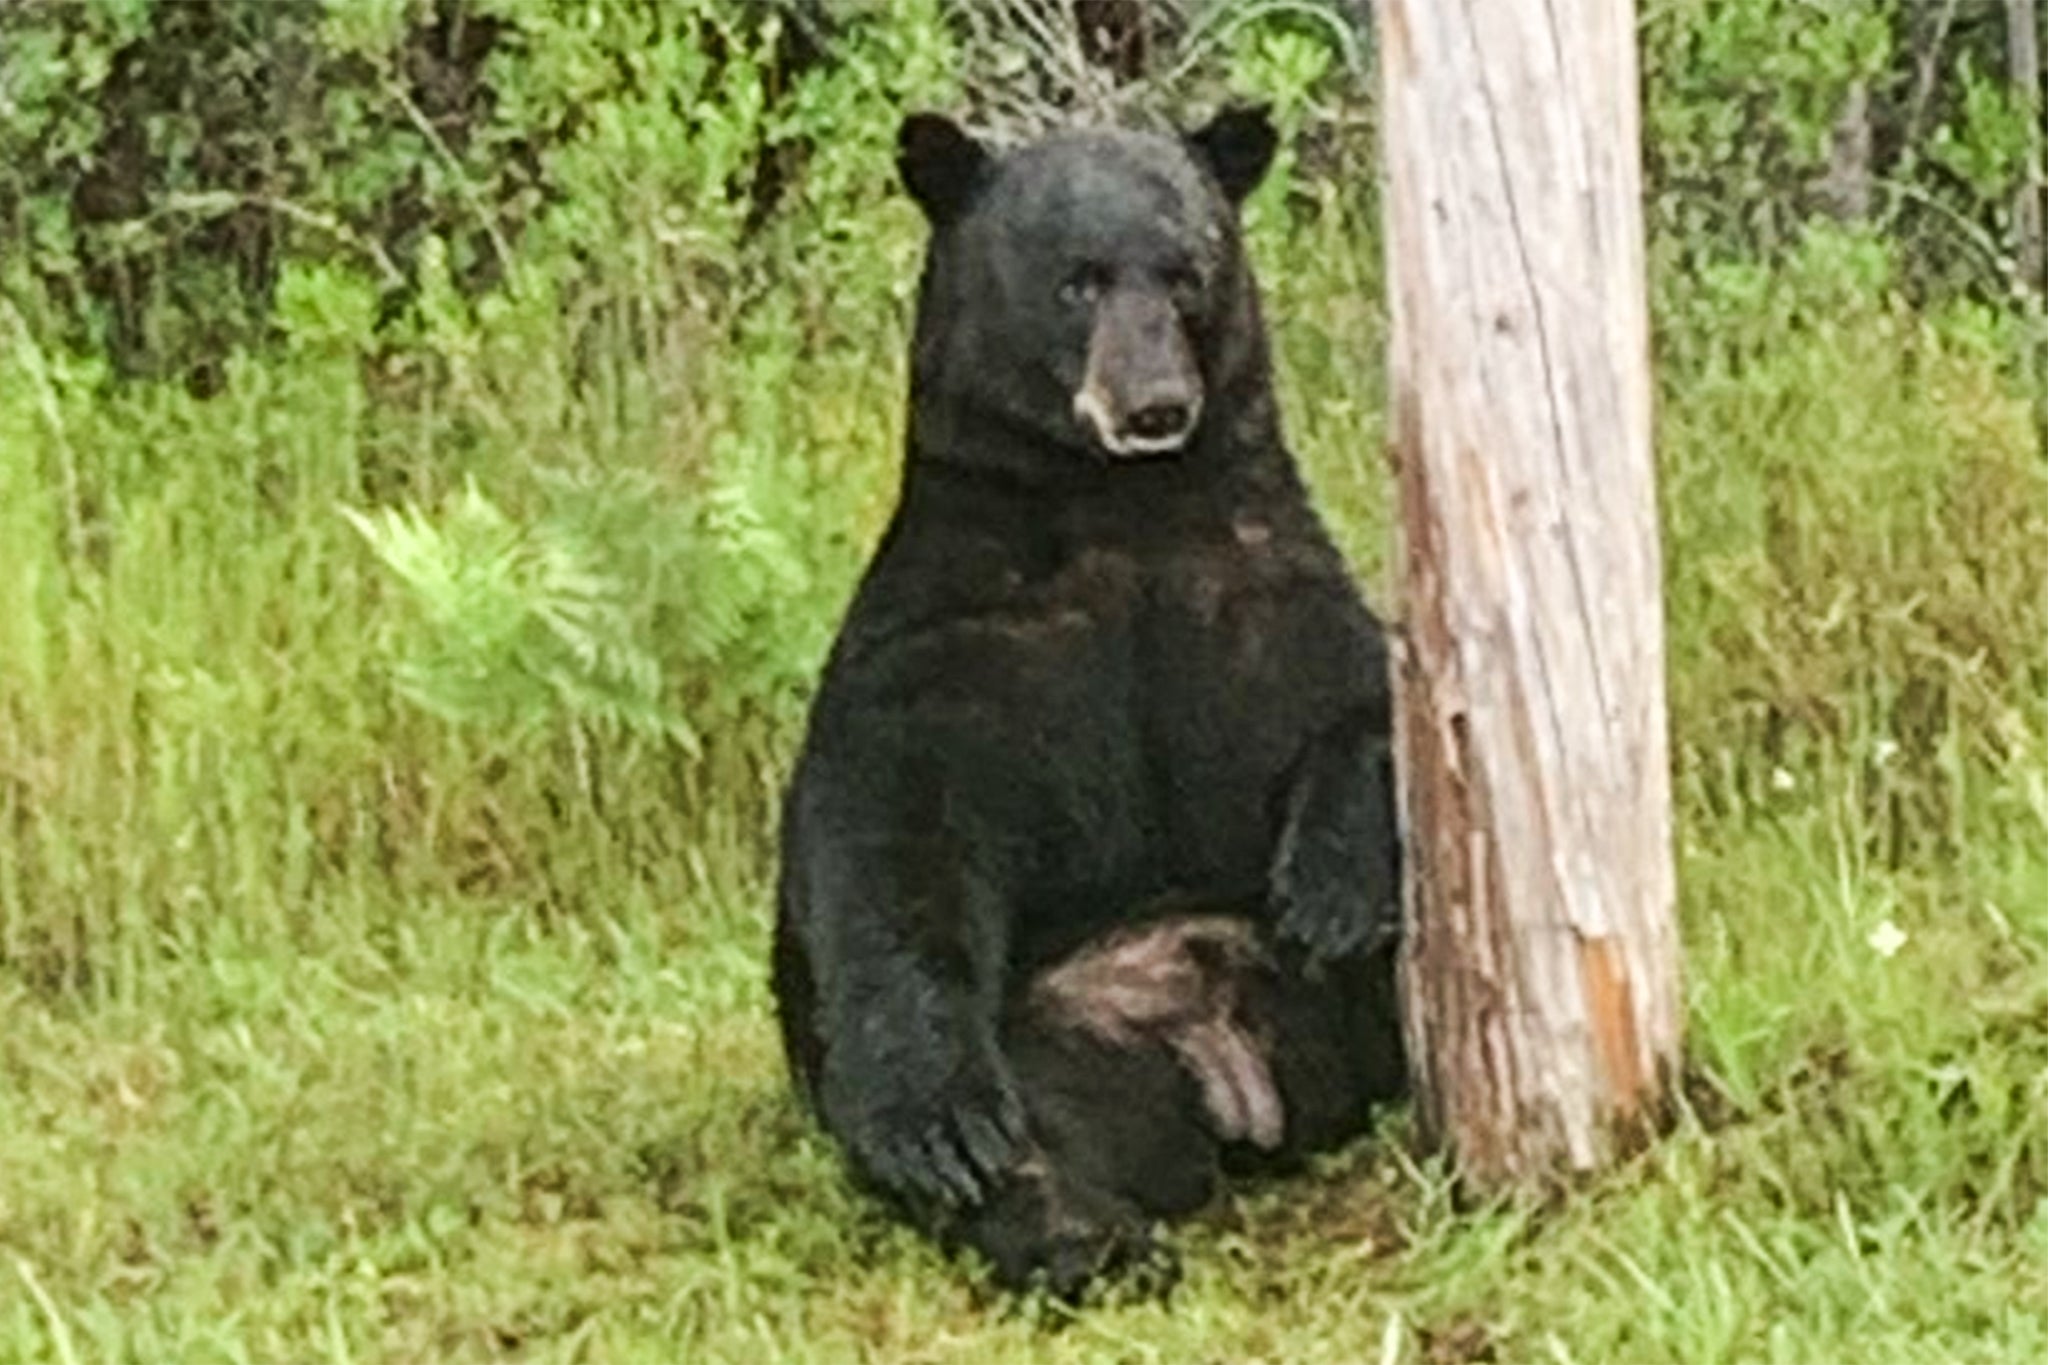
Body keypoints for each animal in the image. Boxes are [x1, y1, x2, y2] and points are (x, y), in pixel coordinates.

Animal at [770, 106, 1409, 1301]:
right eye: (1076, 281)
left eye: (1187, 272)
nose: (1155, 404)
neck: (1124, 507)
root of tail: (1232, 1072)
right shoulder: (954, 640)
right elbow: (892, 840)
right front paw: (933, 1125)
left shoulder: (1263, 583)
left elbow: (1368, 697)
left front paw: (1332, 889)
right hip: (1056, 1036)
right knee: (1035, 1134)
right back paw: (1081, 1233)